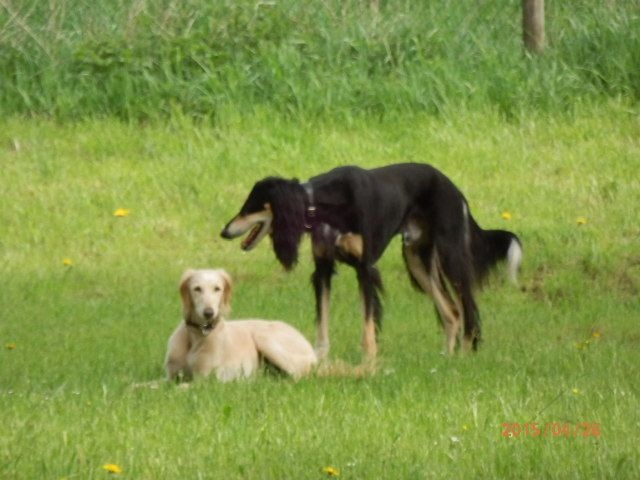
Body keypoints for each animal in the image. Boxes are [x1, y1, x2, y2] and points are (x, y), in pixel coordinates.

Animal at [164, 266, 316, 382]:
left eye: (217, 288)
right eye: (197, 288)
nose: (209, 313)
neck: (197, 334)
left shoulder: (203, 381)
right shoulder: (169, 377)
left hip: (264, 337)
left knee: (297, 376)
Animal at [220, 163, 520, 358]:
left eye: (250, 207)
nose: (224, 232)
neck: (323, 205)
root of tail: (454, 188)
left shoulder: (365, 268)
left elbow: (368, 323)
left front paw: (369, 362)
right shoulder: (323, 269)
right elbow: (322, 321)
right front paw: (319, 360)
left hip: (450, 254)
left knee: (468, 308)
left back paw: (466, 355)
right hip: (417, 258)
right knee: (452, 312)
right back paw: (447, 359)